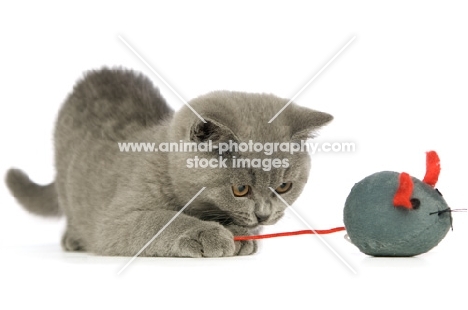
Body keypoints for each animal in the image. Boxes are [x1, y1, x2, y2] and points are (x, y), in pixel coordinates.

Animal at [4, 68, 332, 256]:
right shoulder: (114, 221)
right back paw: (72, 239)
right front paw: (207, 233)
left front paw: (244, 234)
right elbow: (159, 220)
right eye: (240, 189)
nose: (264, 215)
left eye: (285, 187)